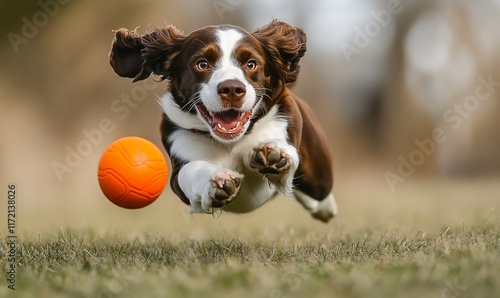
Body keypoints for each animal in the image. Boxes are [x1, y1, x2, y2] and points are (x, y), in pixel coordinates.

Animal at [108, 19, 338, 221]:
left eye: (251, 64)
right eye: (202, 64)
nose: (232, 89)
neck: (231, 142)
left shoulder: (283, 122)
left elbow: (282, 150)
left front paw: (273, 153)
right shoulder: (179, 149)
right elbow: (191, 171)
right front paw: (217, 181)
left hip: (318, 175)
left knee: (318, 193)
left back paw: (326, 208)